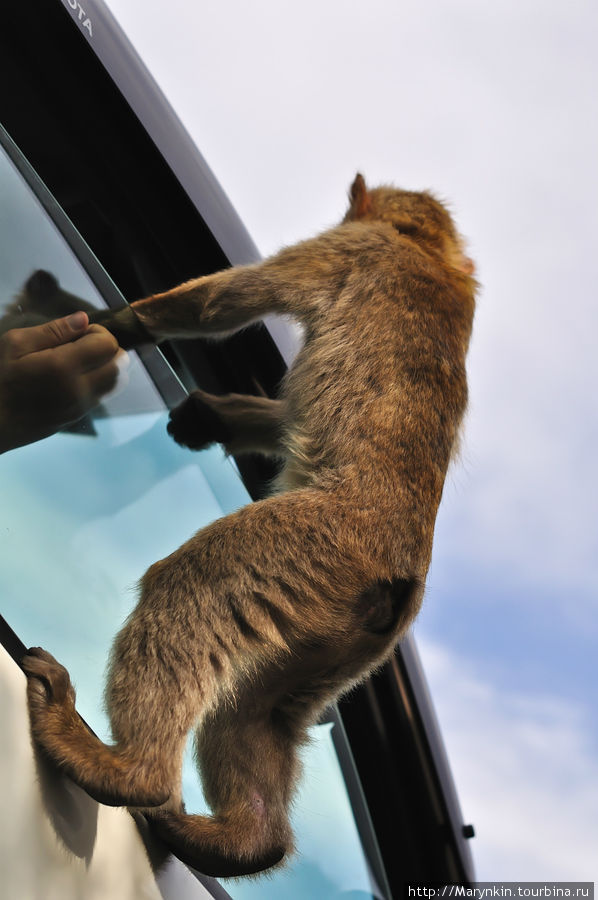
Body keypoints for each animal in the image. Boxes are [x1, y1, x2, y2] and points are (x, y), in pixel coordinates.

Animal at [21, 174, 476, 880]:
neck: (427, 249)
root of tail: (398, 588)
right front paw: (216, 417)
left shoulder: (352, 248)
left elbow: (227, 299)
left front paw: (124, 322)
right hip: (332, 638)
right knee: (255, 712)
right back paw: (244, 838)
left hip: (301, 548)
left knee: (188, 587)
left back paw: (126, 771)